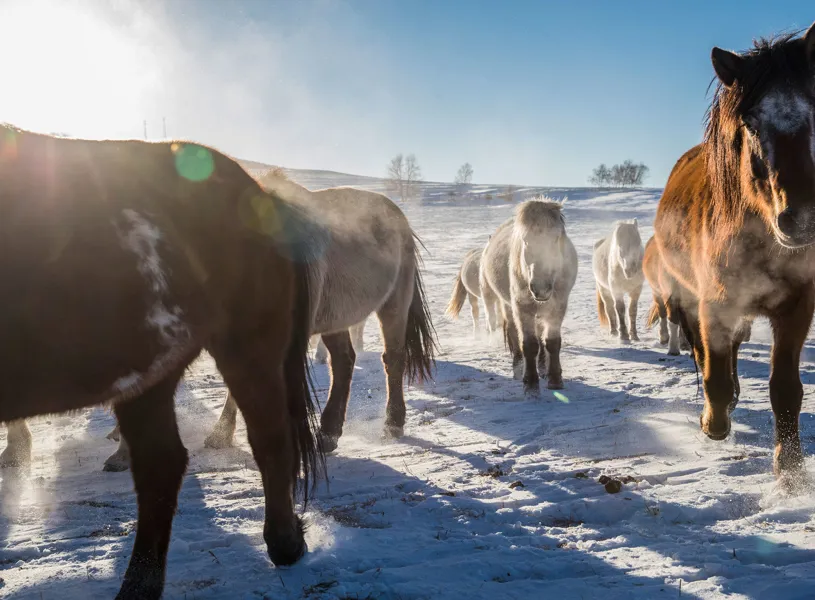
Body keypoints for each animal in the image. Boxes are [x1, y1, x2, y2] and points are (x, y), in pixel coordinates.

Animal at [0, 125, 322, 600]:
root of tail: (261, 192)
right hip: (149, 372)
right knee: (161, 465)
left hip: (248, 348)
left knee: (269, 441)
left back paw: (285, 544)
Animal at [204, 172, 437, 454]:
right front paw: (221, 434)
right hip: (336, 315)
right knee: (344, 361)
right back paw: (329, 433)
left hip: (394, 304)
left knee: (393, 359)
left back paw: (392, 424)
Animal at [480, 198, 578, 393]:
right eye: (525, 241)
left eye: (556, 238)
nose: (541, 287)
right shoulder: (522, 307)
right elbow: (528, 344)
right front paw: (530, 383)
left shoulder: (558, 306)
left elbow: (552, 342)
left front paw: (555, 379)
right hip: (509, 306)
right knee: (513, 333)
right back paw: (518, 368)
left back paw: (542, 367)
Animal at [653, 23, 815, 486]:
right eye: (751, 123)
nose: (801, 218)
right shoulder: (714, 306)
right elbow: (714, 373)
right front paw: (714, 423)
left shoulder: (797, 306)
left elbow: (785, 389)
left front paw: (790, 472)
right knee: (703, 354)